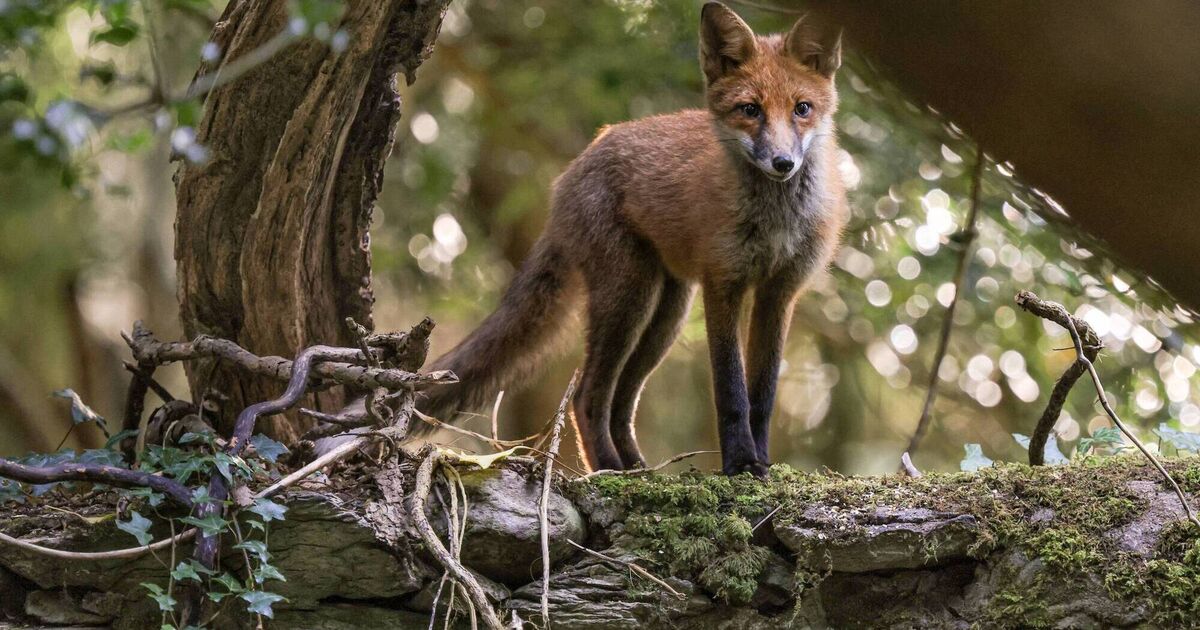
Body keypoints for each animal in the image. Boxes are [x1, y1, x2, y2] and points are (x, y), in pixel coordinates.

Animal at [416, 2, 848, 476]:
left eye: (802, 108)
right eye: (750, 109)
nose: (783, 163)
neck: (775, 220)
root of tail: (575, 167)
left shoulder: (779, 292)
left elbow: (763, 397)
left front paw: (763, 462)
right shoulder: (723, 283)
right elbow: (731, 391)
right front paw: (739, 464)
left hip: (667, 313)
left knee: (622, 403)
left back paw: (637, 468)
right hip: (630, 295)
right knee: (588, 397)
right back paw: (608, 468)